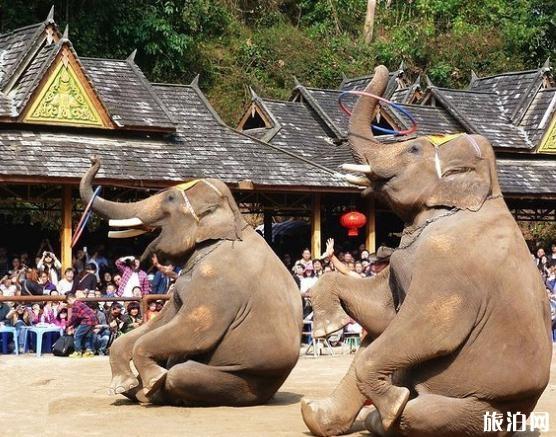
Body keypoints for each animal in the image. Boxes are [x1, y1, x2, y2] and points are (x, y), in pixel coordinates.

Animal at [80, 158, 302, 406]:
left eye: (170, 198)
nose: (95, 160)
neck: (233, 217)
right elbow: (164, 319)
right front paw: (120, 385)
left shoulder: (216, 280)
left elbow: (195, 330)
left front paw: (154, 380)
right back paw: (138, 392)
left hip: (249, 381)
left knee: (180, 375)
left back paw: (154, 391)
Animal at [300, 65, 552, 436]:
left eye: (414, 150)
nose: (382, 67)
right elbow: (381, 313)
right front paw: (325, 328)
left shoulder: (450, 267)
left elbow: (433, 330)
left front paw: (393, 404)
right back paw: (315, 414)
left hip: (481, 409)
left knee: (418, 411)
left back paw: (388, 414)